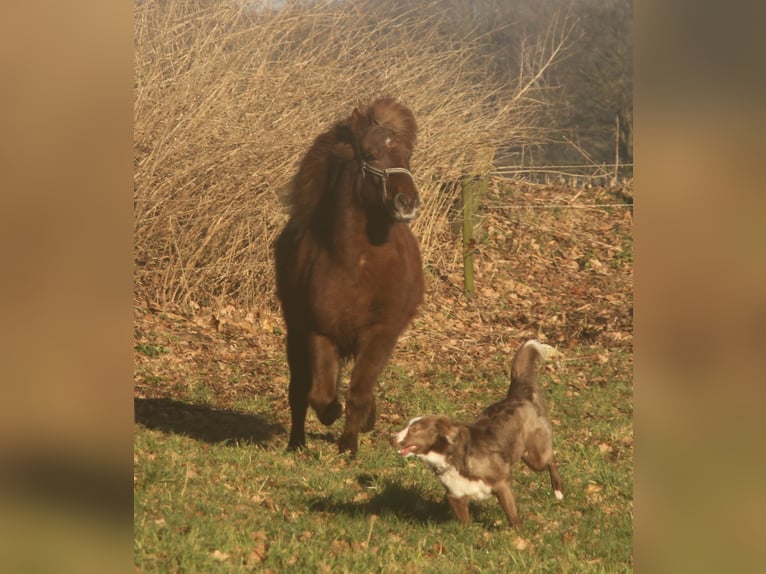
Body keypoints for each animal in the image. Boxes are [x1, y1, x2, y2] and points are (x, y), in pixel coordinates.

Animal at [274, 100, 426, 460]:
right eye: (370, 155)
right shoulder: (319, 333)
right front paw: (333, 415)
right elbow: (320, 394)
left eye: (407, 155)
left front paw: (349, 445)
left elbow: (359, 392)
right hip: (295, 334)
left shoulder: (380, 335)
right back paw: (296, 443)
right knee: (299, 390)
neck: (357, 264)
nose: (407, 203)